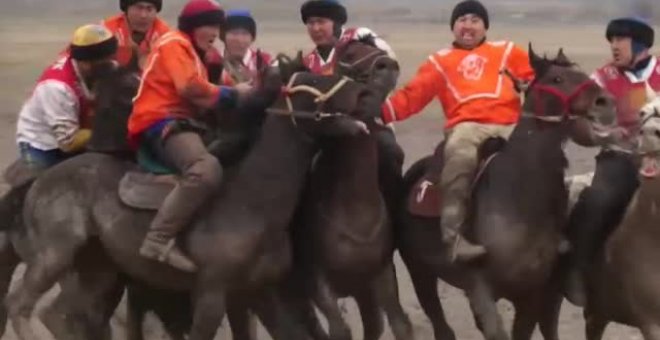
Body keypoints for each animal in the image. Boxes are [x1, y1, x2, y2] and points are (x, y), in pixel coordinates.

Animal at [6, 54, 382, 338]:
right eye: (313, 82)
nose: (365, 94)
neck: (253, 203)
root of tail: (40, 181)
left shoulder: (260, 292)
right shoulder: (211, 293)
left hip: (97, 268)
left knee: (61, 314)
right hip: (55, 255)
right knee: (20, 305)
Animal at [398, 45, 620, 340]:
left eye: (581, 72)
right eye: (557, 79)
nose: (605, 102)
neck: (518, 198)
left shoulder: (531, 294)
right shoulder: (480, 288)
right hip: (419, 271)